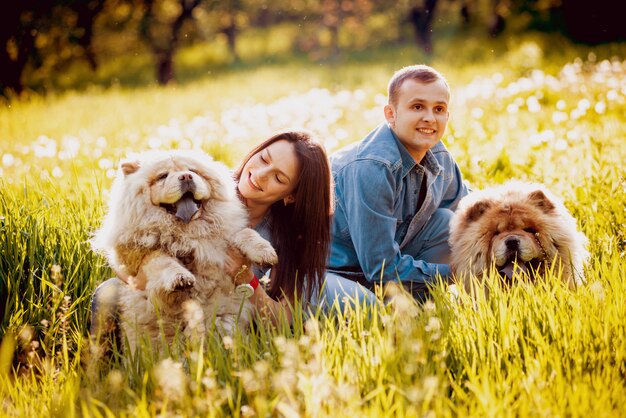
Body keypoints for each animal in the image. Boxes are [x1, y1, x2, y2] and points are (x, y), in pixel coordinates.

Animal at [91, 149, 276, 352]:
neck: (187, 232)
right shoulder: (141, 256)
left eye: (193, 170)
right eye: (163, 176)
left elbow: (246, 233)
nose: (186, 176)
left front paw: (266, 252)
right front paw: (180, 278)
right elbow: (162, 260)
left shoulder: (223, 240)